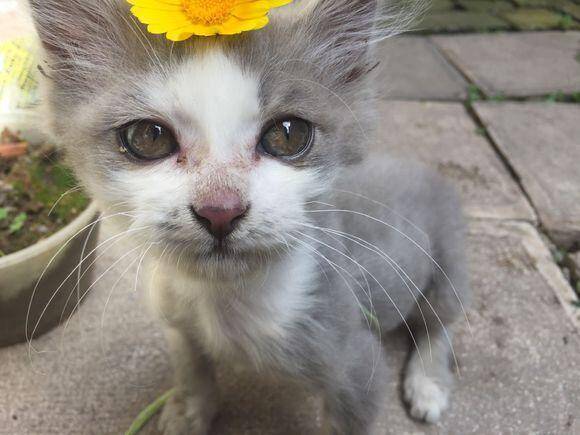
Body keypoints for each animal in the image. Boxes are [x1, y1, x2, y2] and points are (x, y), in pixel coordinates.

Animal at [28, 1, 472, 434]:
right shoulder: (178, 322)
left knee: (440, 323)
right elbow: (192, 367)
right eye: (148, 137)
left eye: (288, 134)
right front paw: (188, 412)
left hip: (449, 263)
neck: (226, 305)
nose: (220, 209)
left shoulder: (358, 364)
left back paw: (428, 383)